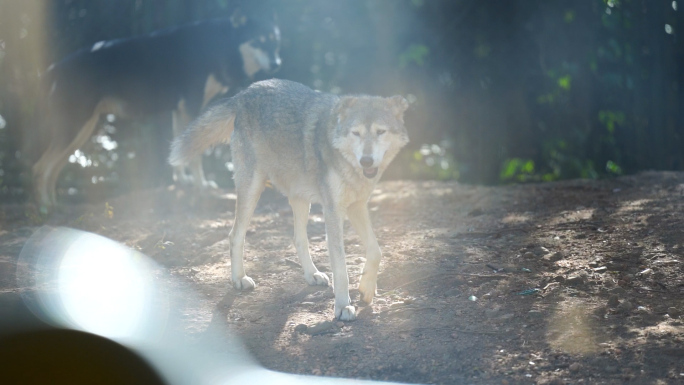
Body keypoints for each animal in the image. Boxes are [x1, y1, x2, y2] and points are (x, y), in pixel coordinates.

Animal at [30, 12, 282, 208]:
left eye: (275, 42)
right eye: (259, 41)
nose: (277, 63)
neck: (218, 45)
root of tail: (53, 68)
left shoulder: (180, 111)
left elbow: (180, 150)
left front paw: (183, 182)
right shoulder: (191, 107)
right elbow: (196, 155)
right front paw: (201, 186)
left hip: (81, 133)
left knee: (52, 169)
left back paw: (55, 205)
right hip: (75, 130)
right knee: (40, 168)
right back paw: (45, 207)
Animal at [169, 79, 408, 320]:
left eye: (380, 132)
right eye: (356, 133)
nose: (366, 161)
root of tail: (245, 92)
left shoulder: (356, 206)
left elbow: (376, 251)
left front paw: (366, 288)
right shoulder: (333, 210)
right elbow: (341, 267)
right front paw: (342, 306)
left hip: (300, 198)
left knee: (298, 238)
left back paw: (312, 275)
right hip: (253, 189)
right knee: (235, 235)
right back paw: (239, 279)